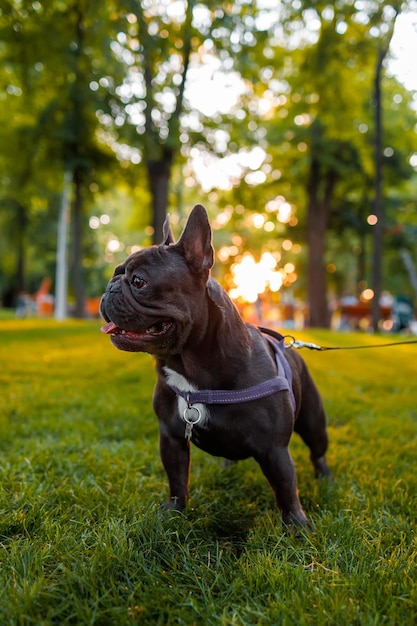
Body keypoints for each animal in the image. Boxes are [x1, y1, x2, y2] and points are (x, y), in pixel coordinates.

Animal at [99, 205, 330, 528]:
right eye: (116, 273)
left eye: (139, 282)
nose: (109, 287)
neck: (189, 366)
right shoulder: (171, 437)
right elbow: (177, 479)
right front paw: (173, 512)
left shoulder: (274, 449)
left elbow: (286, 487)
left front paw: (297, 527)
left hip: (313, 420)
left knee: (317, 450)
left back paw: (325, 477)